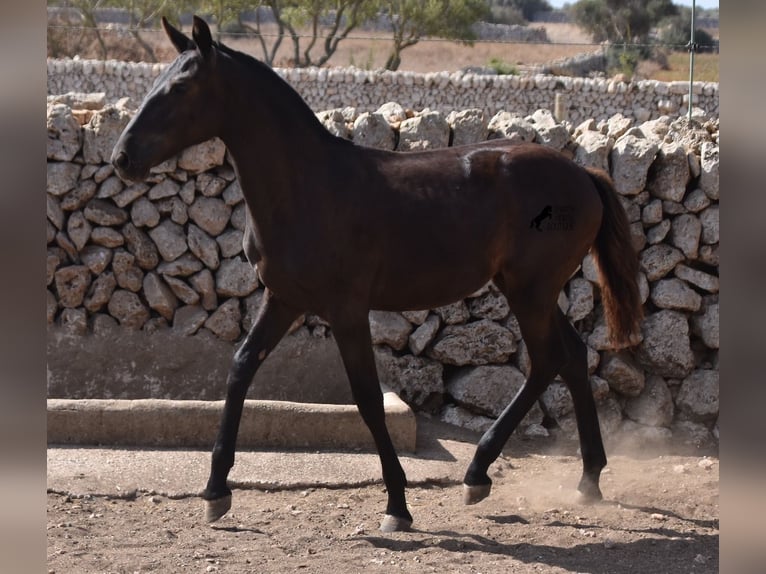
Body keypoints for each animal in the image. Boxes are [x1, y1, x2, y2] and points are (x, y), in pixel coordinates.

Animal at [112, 14, 640, 536]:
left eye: (181, 86)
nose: (122, 158)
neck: (308, 188)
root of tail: (583, 174)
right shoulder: (283, 299)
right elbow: (241, 367)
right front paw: (216, 492)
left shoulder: (346, 311)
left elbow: (367, 397)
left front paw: (397, 505)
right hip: (530, 290)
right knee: (572, 355)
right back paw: (585, 478)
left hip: (530, 291)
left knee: (547, 360)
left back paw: (479, 473)